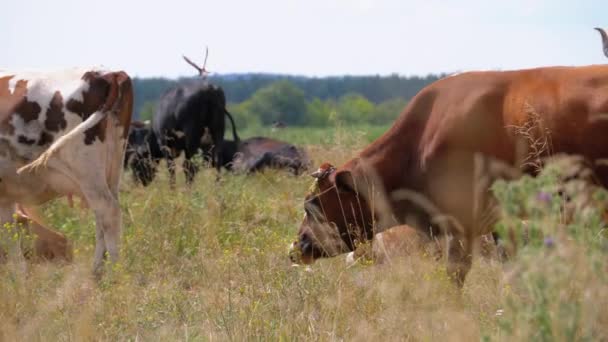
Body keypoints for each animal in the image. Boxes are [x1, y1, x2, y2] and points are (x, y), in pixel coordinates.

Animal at [0, 68, 133, 274]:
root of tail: (106, 73)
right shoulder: (6, 194)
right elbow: (11, 237)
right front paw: (20, 276)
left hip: (87, 170)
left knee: (108, 212)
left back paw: (112, 273)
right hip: (112, 169)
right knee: (102, 217)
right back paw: (98, 272)